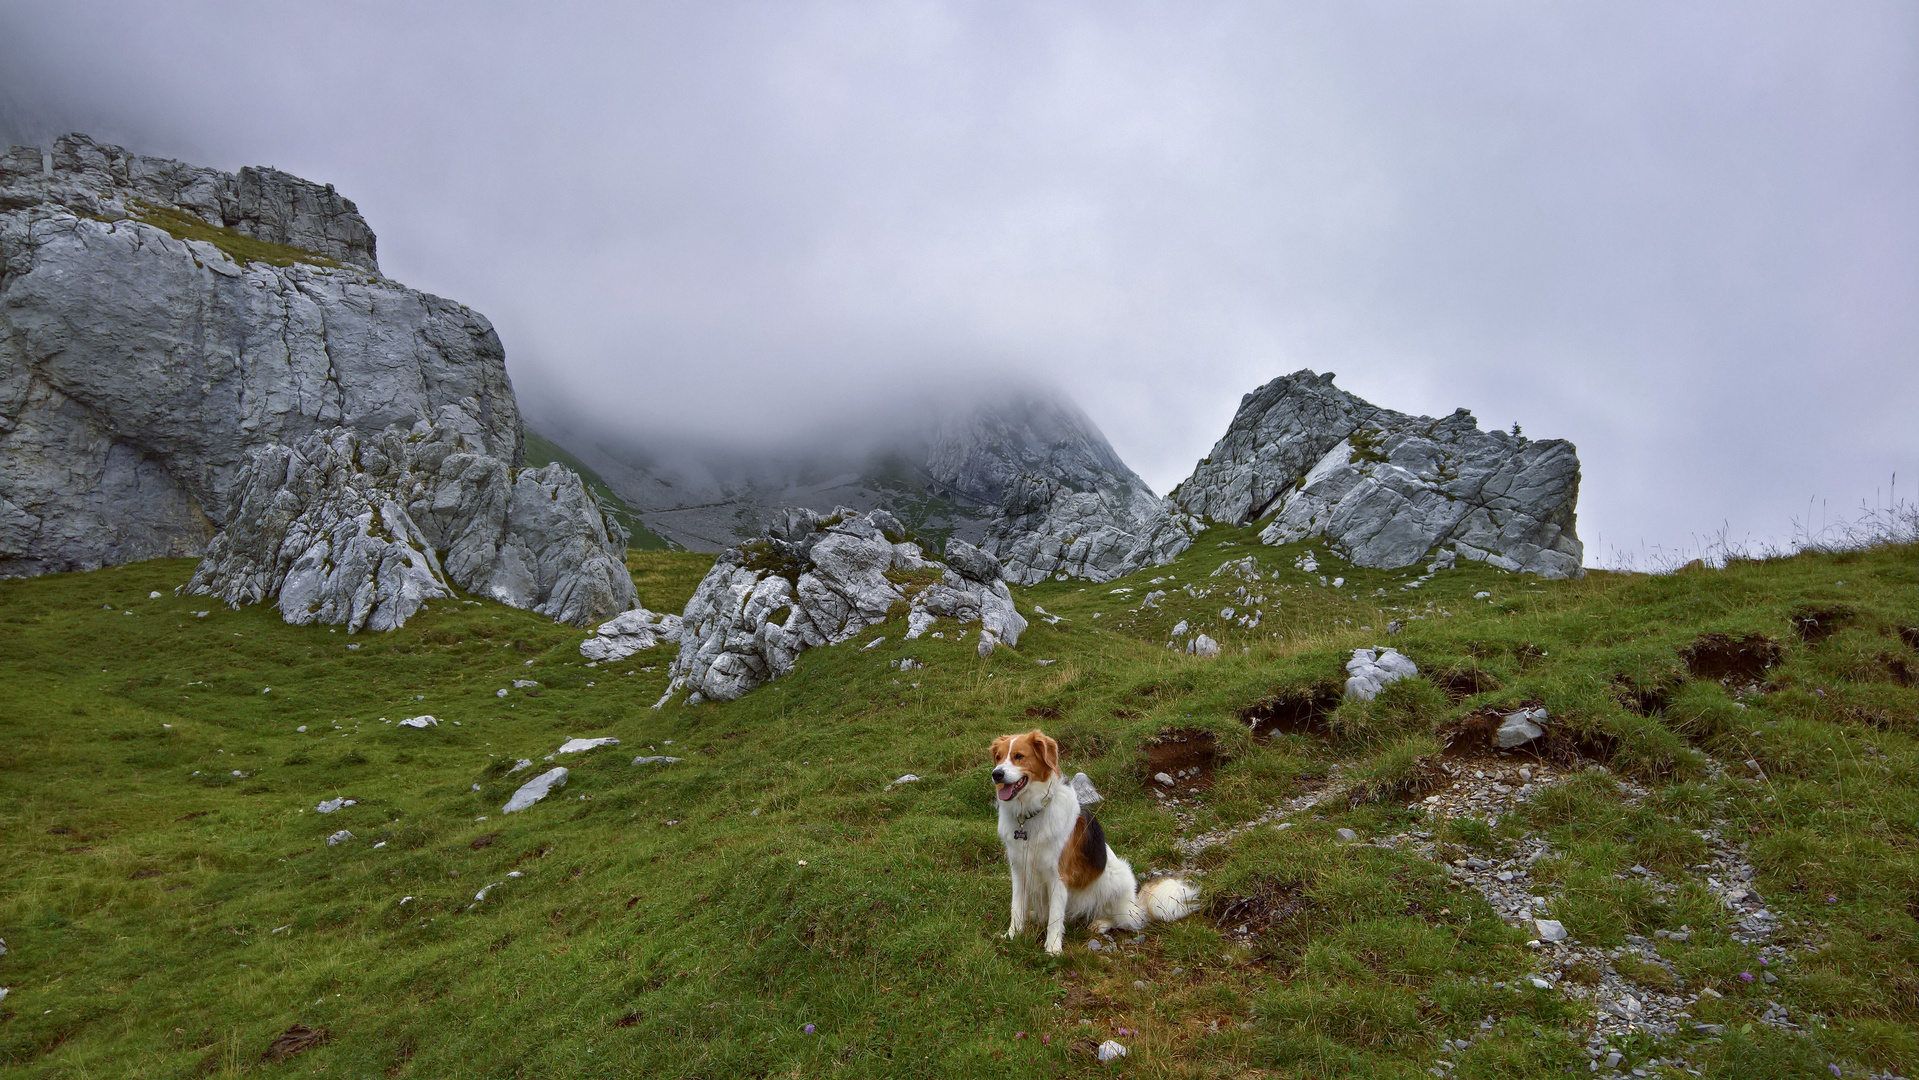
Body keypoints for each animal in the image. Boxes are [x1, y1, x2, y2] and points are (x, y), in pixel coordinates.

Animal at [990, 725, 1197, 955]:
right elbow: (1016, 907)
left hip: (1117, 877)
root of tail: (1135, 904)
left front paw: (1052, 949)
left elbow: (1055, 917)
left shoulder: (1058, 875)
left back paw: (1102, 923)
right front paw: (1012, 936)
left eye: (1019, 756)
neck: (1029, 815)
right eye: (998, 758)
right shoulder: (1019, 870)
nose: (996, 774)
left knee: (1128, 920)